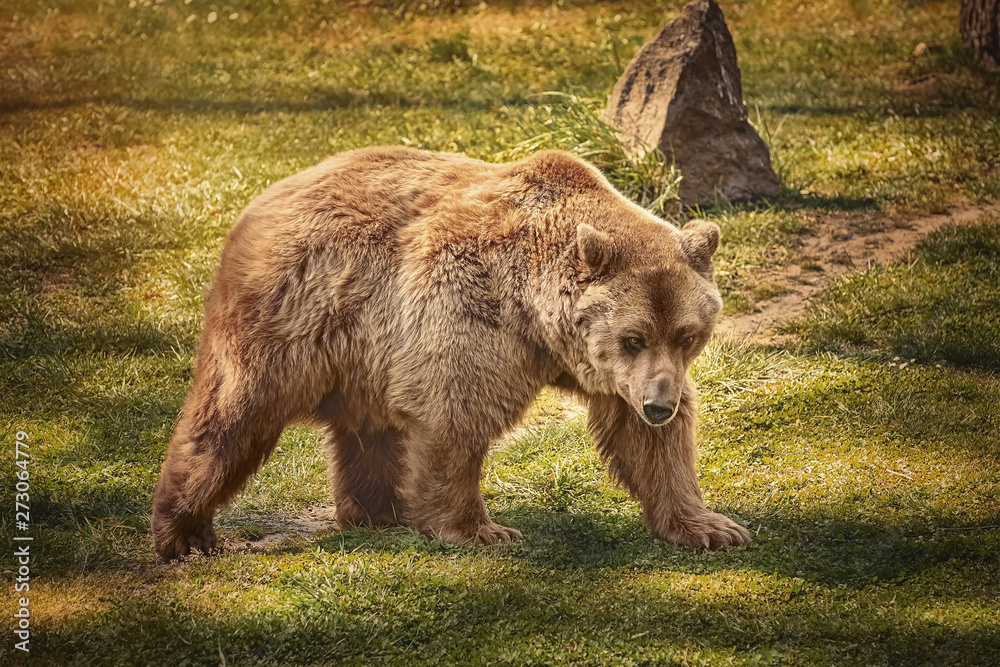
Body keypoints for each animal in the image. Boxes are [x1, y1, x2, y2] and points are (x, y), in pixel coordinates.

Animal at [150, 147, 752, 564]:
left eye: (687, 335)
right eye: (633, 336)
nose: (659, 405)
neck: (536, 317)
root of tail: (265, 198)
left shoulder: (609, 372)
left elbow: (648, 446)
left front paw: (711, 526)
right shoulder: (467, 306)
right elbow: (456, 410)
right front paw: (483, 530)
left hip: (366, 345)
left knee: (370, 428)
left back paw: (379, 510)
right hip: (292, 310)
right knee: (235, 412)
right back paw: (186, 532)